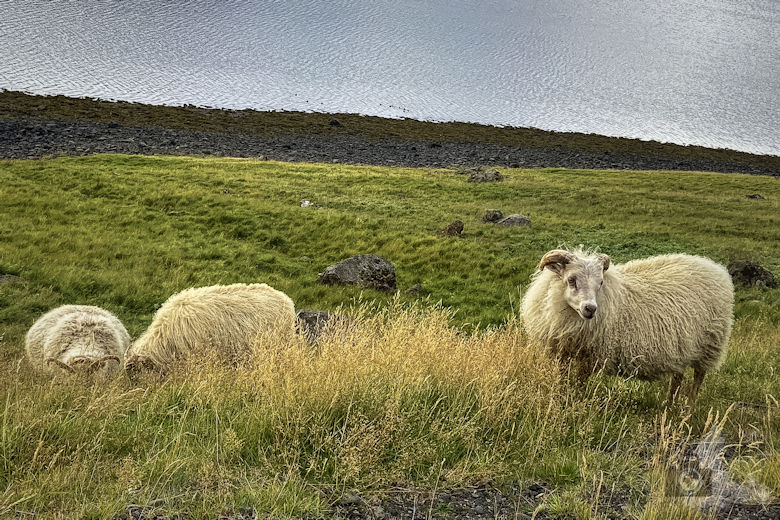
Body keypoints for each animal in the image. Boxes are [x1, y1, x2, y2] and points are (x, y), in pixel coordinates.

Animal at [521, 248, 734, 402]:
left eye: (600, 283)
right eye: (571, 280)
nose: (590, 309)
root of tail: (715, 268)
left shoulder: (592, 357)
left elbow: (579, 383)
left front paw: (575, 402)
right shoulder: (562, 352)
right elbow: (563, 380)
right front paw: (561, 398)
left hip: (710, 344)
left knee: (698, 377)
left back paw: (689, 408)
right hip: (683, 348)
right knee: (678, 377)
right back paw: (669, 404)